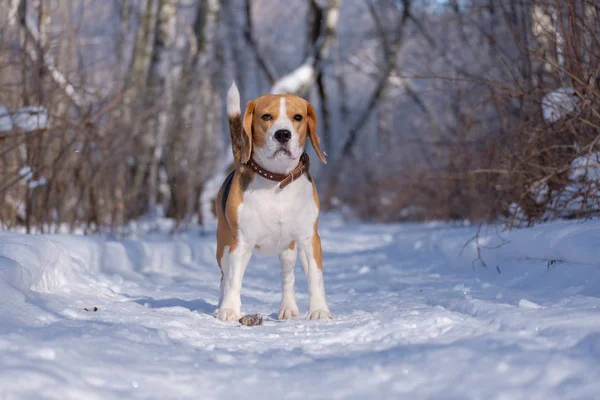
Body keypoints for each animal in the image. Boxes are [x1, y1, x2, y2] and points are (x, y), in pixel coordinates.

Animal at [213, 83, 330, 322]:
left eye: (298, 117)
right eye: (266, 116)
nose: (283, 134)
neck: (277, 182)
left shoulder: (309, 239)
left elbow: (315, 276)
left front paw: (319, 311)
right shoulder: (241, 242)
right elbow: (233, 280)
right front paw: (229, 310)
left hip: (288, 250)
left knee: (287, 276)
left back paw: (288, 308)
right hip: (223, 246)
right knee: (224, 276)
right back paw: (221, 307)